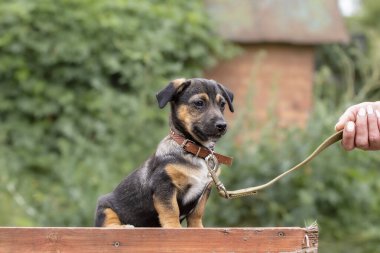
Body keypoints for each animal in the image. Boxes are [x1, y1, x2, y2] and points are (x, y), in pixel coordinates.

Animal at [93, 77, 233, 227]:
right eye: (199, 103)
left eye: (222, 104)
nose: (222, 126)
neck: (194, 151)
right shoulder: (164, 185)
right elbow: (171, 210)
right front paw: (174, 227)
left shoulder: (205, 190)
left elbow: (197, 213)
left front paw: (197, 228)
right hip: (105, 207)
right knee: (108, 224)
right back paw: (125, 226)